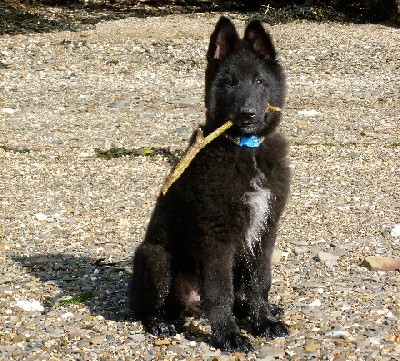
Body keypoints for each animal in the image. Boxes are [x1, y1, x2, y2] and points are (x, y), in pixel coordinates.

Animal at [130, 15, 290, 350]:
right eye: (230, 83)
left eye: (260, 81)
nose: (247, 114)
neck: (246, 149)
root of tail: (192, 307)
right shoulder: (217, 235)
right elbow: (220, 291)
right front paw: (229, 335)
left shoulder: (265, 231)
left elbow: (260, 282)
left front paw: (264, 321)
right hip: (155, 257)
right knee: (145, 307)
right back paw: (159, 323)